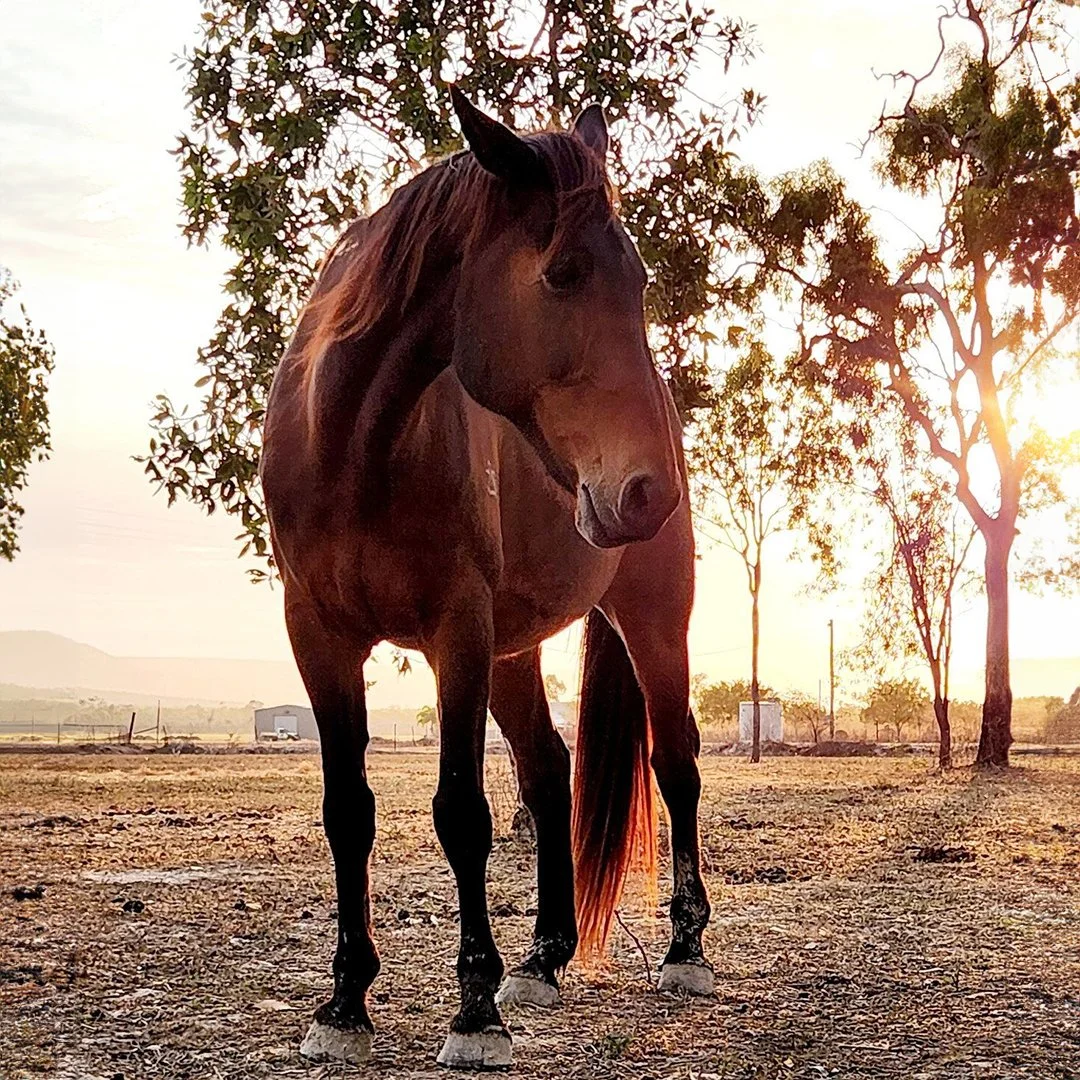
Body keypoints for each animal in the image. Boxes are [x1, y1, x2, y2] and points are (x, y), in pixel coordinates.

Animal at [260, 87, 712, 1070]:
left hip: (652, 622)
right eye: (566, 273)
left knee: (677, 764)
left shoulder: (455, 632)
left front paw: (472, 1012)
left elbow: (461, 813)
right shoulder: (319, 636)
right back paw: (542, 959)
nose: (647, 490)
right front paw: (344, 1003)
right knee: (548, 771)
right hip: (513, 652)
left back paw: (684, 949)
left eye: (640, 283)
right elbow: (348, 811)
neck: (358, 440)